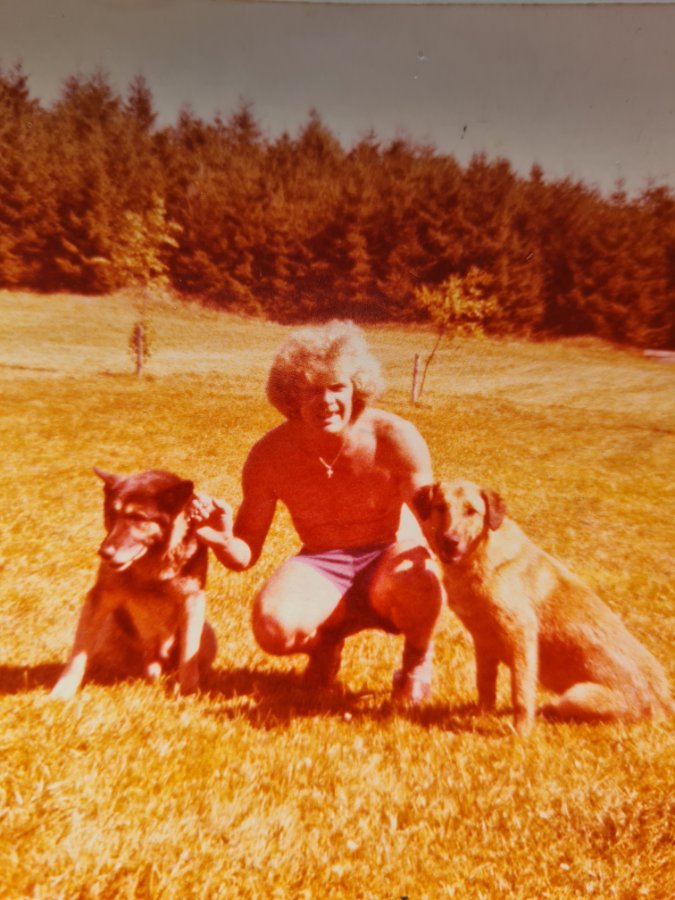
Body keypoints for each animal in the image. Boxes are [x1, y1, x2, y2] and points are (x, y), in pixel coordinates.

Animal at [50, 468, 217, 699]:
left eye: (137, 517)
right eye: (111, 514)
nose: (104, 552)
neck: (152, 564)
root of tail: (155, 662)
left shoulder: (192, 602)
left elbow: (188, 655)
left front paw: (188, 691)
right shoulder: (99, 599)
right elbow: (78, 654)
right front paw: (64, 689)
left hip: (207, 632)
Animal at [413, 479, 673, 735]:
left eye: (472, 511)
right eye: (440, 507)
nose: (450, 542)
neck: (479, 555)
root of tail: (665, 702)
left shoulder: (521, 636)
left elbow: (521, 691)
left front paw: (521, 732)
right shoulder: (484, 643)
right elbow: (485, 686)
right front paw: (481, 716)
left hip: (575, 696)